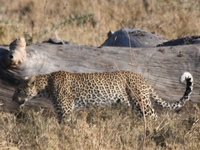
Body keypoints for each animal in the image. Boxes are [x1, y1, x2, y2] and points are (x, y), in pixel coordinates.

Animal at [11, 70, 193, 123]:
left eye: (19, 90)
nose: (12, 99)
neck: (46, 86)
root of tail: (144, 79)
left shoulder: (65, 112)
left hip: (141, 103)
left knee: (154, 117)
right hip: (134, 105)